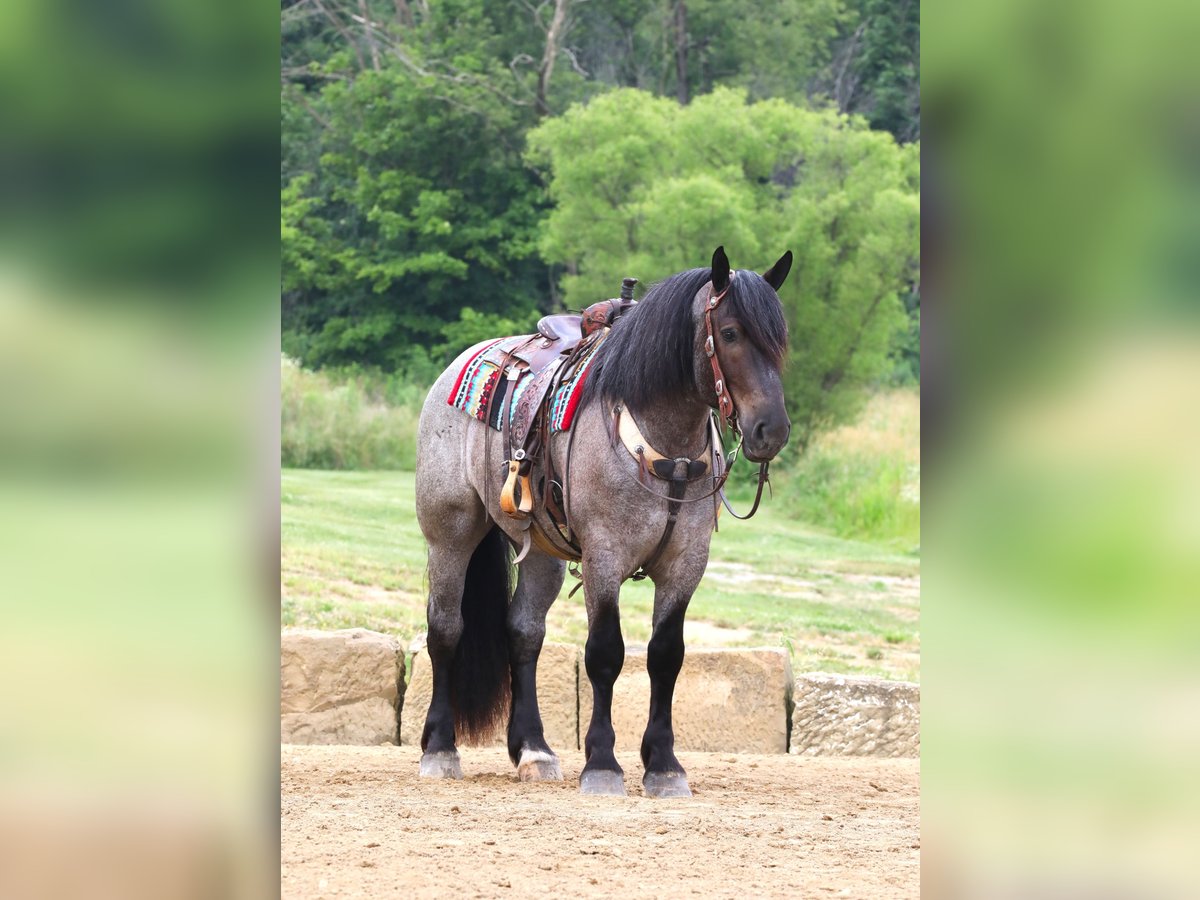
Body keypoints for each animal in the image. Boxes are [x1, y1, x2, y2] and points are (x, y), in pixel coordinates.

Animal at [415, 244, 796, 796]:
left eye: (779, 339)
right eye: (730, 333)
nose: (772, 429)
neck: (666, 452)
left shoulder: (685, 566)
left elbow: (666, 656)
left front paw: (664, 764)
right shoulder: (605, 558)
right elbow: (605, 654)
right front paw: (601, 762)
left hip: (544, 553)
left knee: (524, 632)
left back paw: (533, 750)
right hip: (450, 534)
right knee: (445, 627)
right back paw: (440, 748)